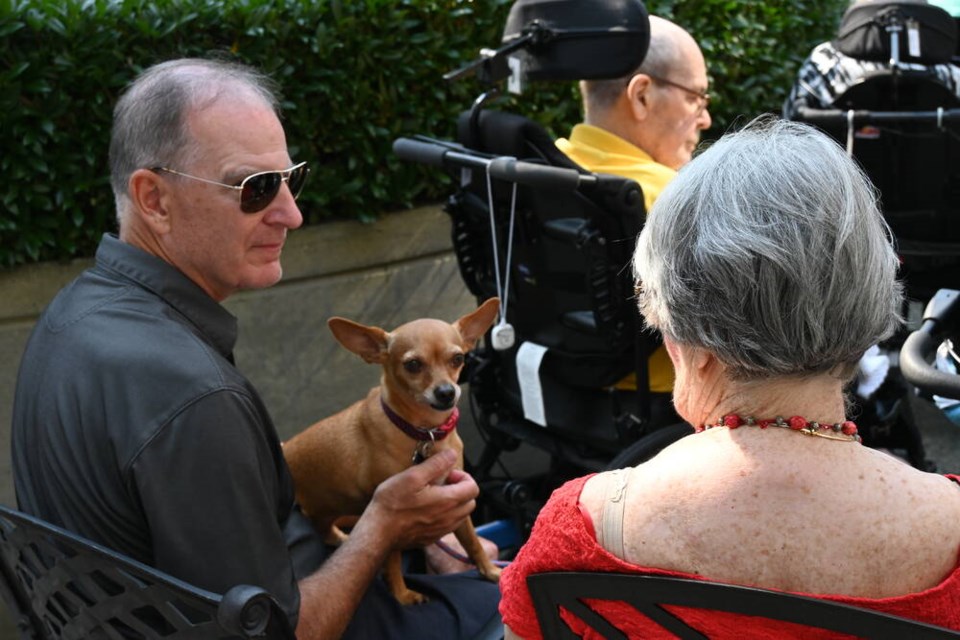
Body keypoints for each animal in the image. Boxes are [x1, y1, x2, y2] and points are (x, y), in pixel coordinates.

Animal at [282, 298, 502, 604]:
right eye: (413, 365)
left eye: (458, 359)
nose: (447, 392)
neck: (423, 433)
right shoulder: (396, 521)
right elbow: (392, 559)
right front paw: (402, 595)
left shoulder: (456, 497)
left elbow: (471, 541)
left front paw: (491, 571)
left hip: (326, 512)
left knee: (325, 531)